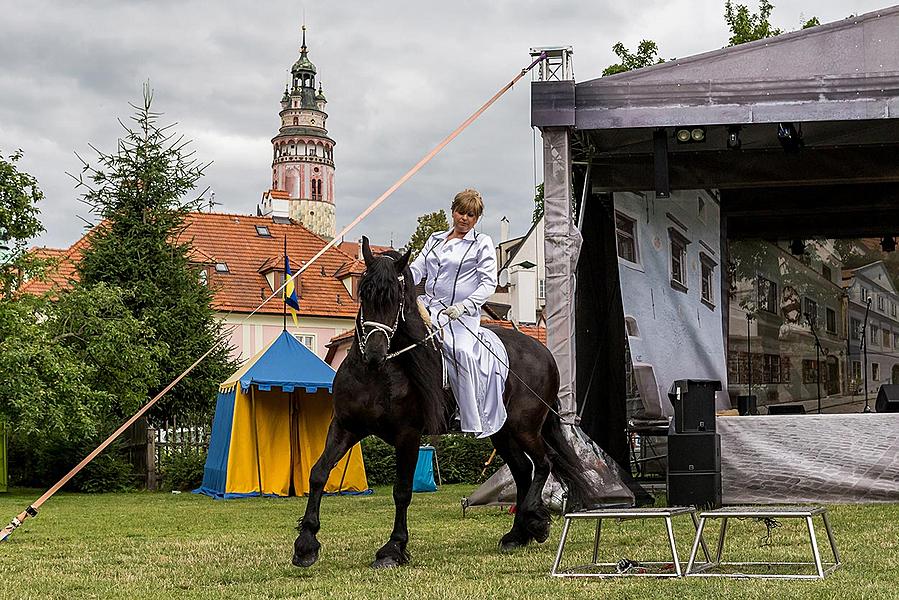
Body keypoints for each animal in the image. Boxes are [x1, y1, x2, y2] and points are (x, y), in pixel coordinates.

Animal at [292, 237, 596, 568]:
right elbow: (318, 473)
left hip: (524, 427)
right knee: (522, 471)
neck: (376, 375)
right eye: (364, 292)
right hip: (502, 433)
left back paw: (534, 522)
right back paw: (517, 534)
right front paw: (305, 544)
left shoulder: (408, 435)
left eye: (397, 299)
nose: (374, 353)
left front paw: (393, 548)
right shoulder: (346, 426)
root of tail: (543, 353)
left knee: (543, 463)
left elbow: (402, 490)